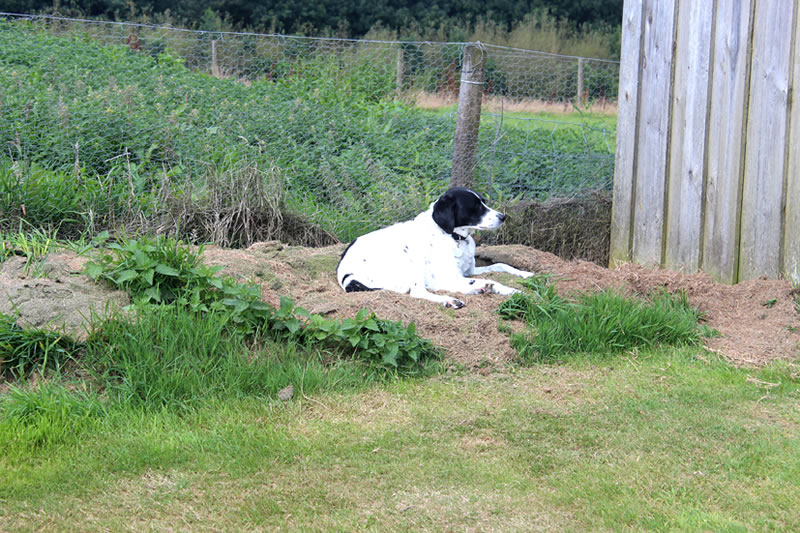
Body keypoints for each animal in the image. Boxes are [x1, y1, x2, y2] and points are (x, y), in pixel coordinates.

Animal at [336, 187, 532, 308]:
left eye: (483, 201)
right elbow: (495, 281)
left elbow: (501, 265)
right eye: (475, 206)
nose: (503, 217)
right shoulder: (452, 276)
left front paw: (525, 274)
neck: (453, 236)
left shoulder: (469, 271)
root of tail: (347, 276)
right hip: (412, 264)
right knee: (417, 292)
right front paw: (515, 291)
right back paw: (450, 300)